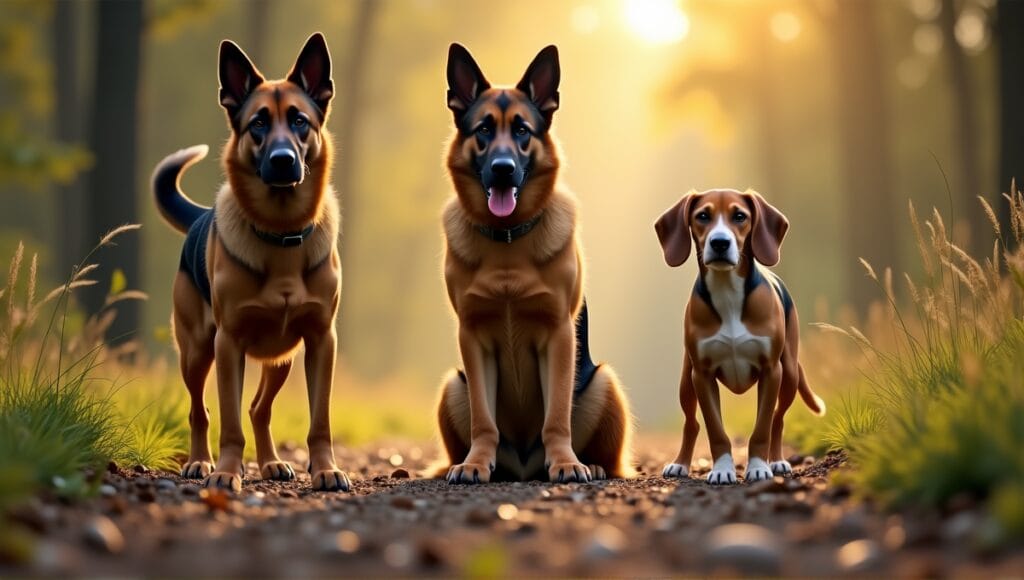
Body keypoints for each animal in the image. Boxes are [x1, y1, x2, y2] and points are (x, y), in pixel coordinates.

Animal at [151, 34, 350, 493]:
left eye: (299, 121)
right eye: (258, 124)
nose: (281, 160)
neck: (282, 232)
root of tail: (200, 216)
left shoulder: (320, 342)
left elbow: (320, 420)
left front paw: (325, 468)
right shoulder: (229, 343)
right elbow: (227, 420)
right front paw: (226, 471)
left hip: (282, 359)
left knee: (260, 408)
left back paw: (272, 463)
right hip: (196, 352)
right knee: (199, 411)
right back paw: (200, 462)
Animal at [430, 43, 630, 483]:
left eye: (522, 131)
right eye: (483, 130)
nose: (503, 170)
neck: (507, 240)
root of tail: (523, 467)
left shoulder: (558, 336)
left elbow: (556, 417)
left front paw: (567, 463)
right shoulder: (473, 339)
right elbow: (483, 419)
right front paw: (474, 463)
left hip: (604, 383)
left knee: (606, 456)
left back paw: (588, 463)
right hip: (453, 386)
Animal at [655, 188, 823, 483]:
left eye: (740, 216)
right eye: (702, 216)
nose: (720, 242)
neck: (727, 292)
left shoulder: (771, 371)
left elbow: (762, 428)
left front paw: (758, 467)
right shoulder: (702, 375)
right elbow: (715, 430)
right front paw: (723, 469)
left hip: (789, 375)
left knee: (777, 419)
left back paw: (776, 460)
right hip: (686, 382)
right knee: (691, 423)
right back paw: (680, 464)